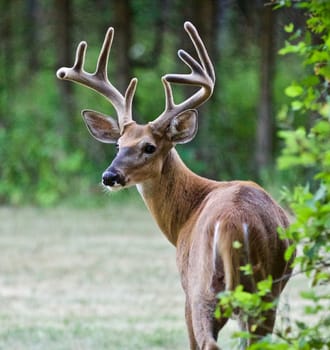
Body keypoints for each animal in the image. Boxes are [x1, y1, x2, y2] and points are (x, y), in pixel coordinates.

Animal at [56, 21, 294, 350]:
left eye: (149, 147)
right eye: (117, 144)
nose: (109, 176)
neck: (186, 214)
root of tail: (234, 224)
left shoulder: (185, 288)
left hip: (202, 287)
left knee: (208, 342)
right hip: (265, 292)